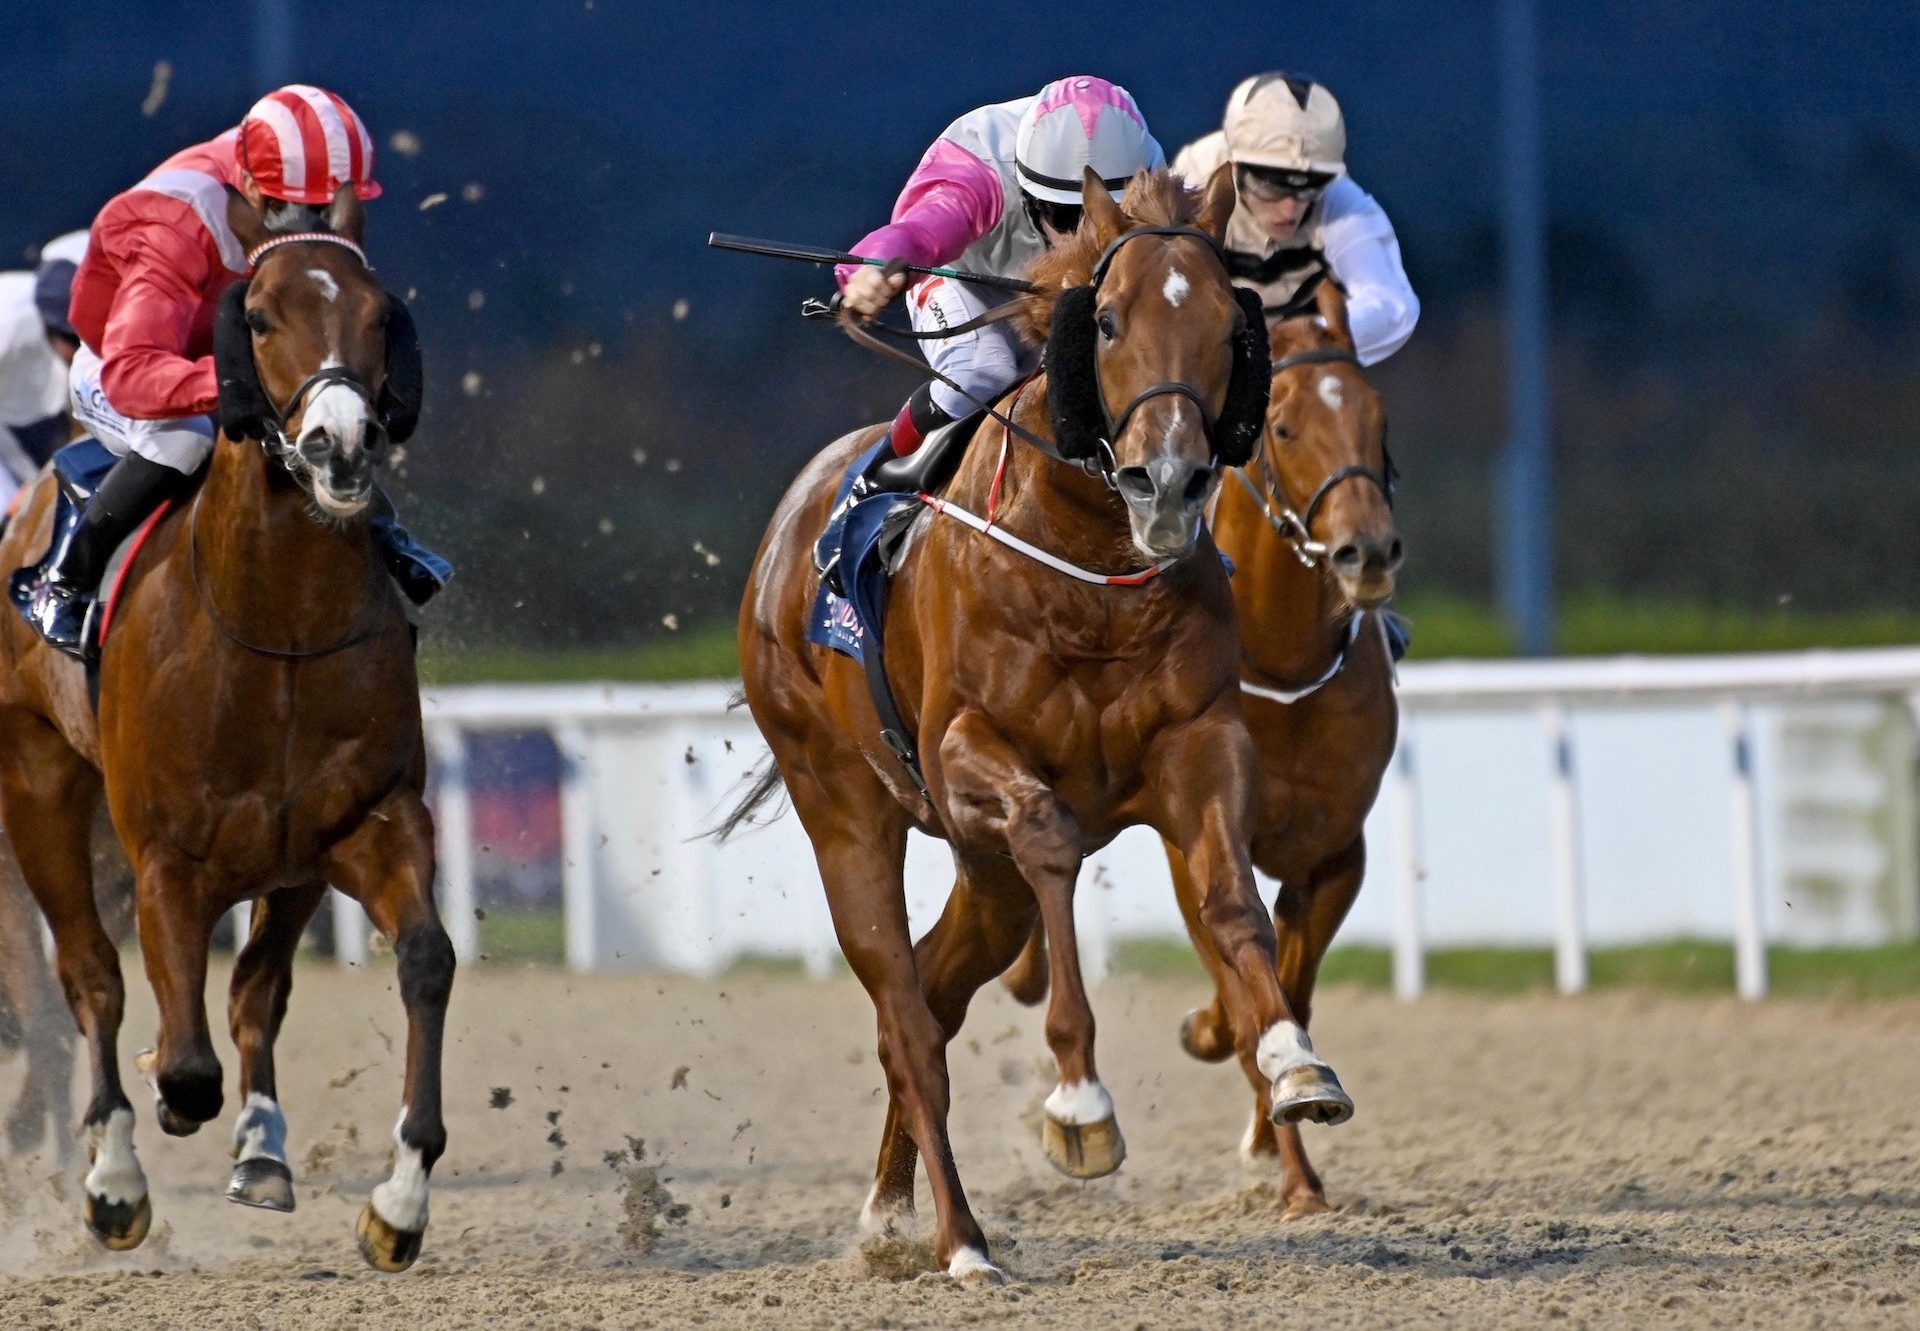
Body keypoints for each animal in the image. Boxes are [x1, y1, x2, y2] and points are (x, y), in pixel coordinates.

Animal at [0, 184, 449, 1267]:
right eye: (257, 315)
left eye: (382, 314)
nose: (340, 441)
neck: (277, 627)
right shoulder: (165, 853)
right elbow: (179, 1053)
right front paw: (142, 1137)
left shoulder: (361, 820)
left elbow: (420, 959)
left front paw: (398, 1198)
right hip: (39, 788)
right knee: (88, 979)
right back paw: (112, 1178)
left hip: (284, 863)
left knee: (252, 990)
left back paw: (259, 1146)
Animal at [725, 166, 1359, 1275]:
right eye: (1105, 320)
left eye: (1228, 326)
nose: (1167, 479)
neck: (1090, 572)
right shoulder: (966, 751)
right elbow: (1052, 836)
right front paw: (1079, 1099)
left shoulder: (1202, 737)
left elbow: (1232, 894)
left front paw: (1294, 1060)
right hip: (845, 807)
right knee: (904, 1017)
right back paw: (961, 1239)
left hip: (983, 880)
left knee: (936, 991)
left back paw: (889, 1210)